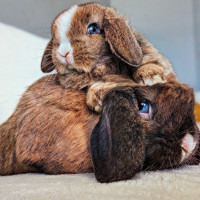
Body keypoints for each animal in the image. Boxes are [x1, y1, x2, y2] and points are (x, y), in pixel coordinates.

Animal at [41, 1, 177, 111]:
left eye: (93, 28)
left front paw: (150, 78)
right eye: (55, 37)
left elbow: (149, 64)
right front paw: (98, 97)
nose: (63, 53)